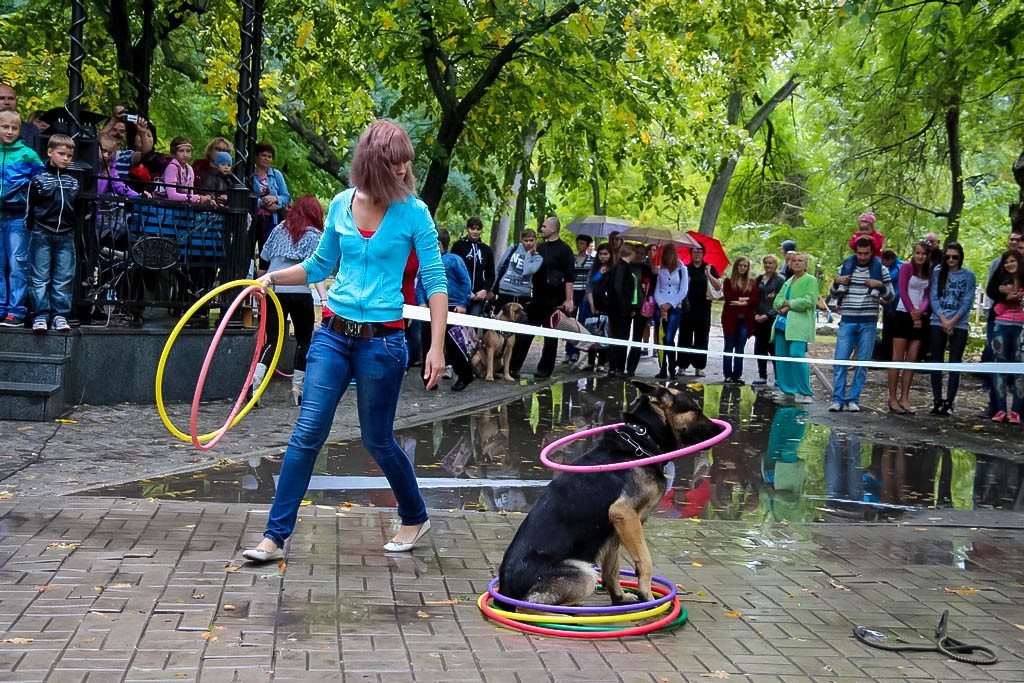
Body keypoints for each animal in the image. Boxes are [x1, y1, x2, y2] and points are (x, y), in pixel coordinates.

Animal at [497, 385, 720, 610]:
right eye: (697, 409)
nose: (720, 430)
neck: (642, 439)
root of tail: (506, 590)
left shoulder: (616, 530)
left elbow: (611, 569)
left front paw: (620, 598)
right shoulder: (625, 515)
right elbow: (645, 560)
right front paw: (647, 596)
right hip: (583, 572)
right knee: (528, 606)